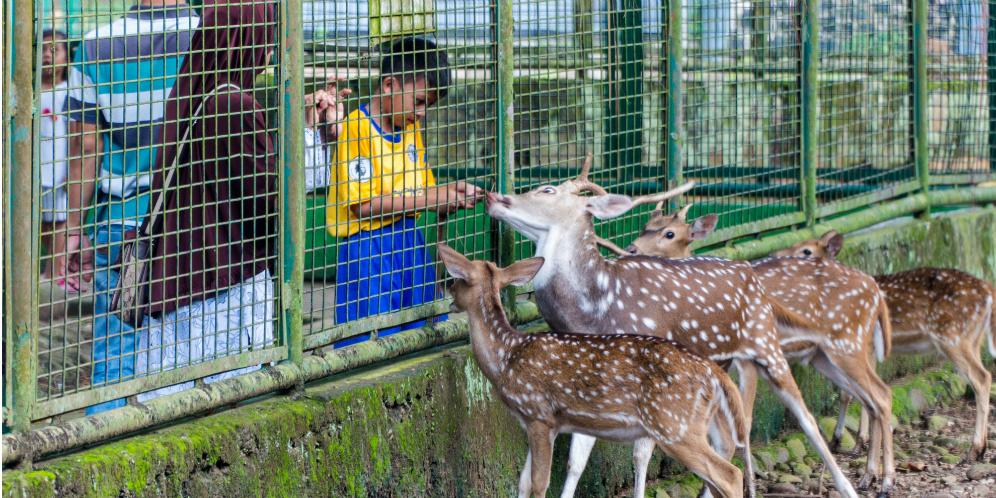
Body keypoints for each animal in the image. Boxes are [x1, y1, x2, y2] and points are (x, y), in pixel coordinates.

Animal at [436, 245, 748, 498]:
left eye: (458, 278)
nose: (449, 292)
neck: (506, 356)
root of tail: (716, 374)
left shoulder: (538, 414)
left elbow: (539, 484)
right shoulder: (535, 422)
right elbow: (523, 482)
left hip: (674, 425)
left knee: (730, 474)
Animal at [486, 156, 860, 498]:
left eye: (547, 190)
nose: (492, 196)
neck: (594, 307)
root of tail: (750, 271)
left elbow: (639, 456)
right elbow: (576, 461)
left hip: (765, 344)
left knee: (805, 418)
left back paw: (848, 484)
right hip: (719, 368)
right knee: (726, 441)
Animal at [624, 205, 896, 494]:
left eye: (670, 233)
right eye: (644, 225)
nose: (631, 248)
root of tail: (875, 289)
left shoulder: (744, 361)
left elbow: (744, 421)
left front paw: (748, 486)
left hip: (847, 344)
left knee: (880, 395)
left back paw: (884, 479)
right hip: (826, 355)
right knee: (867, 397)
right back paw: (867, 471)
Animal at [780, 231, 996, 462]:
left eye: (807, 250)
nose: (777, 256)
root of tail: (988, 290)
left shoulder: (863, 344)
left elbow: (854, 394)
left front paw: (856, 444)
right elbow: (852, 393)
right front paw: (843, 441)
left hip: (952, 336)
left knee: (981, 378)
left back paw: (974, 451)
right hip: (972, 338)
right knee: (983, 374)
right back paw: (981, 449)